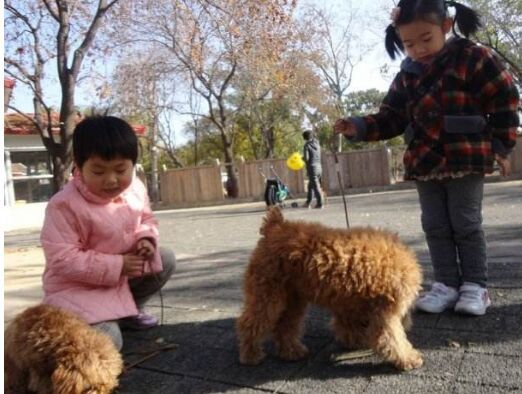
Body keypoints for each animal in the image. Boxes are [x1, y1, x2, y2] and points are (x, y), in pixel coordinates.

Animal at [236, 208, 422, 370]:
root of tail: (275, 226)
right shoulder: (384, 312)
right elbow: (392, 338)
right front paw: (408, 358)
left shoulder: (350, 306)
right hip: (267, 294)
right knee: (249, 323)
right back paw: (251, 355)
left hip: (293, 299)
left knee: (284, 326)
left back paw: (292, 351)